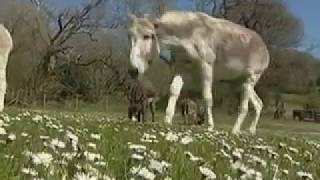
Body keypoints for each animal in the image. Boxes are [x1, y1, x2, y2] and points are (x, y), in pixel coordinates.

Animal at [126, 10, 268, 135]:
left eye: (147, 36)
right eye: (130, 37)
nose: (132, 70)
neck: (188, 33)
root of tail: (263, 46)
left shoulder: (206, 66)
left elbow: (207, 97)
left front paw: (210, 126)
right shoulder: (181, 68)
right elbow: (174, 91)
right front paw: (167, 120)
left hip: (250, 78)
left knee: (244, 108)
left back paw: (235, 131)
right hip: (238, 83)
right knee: (258, 104)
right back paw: (251, 131)